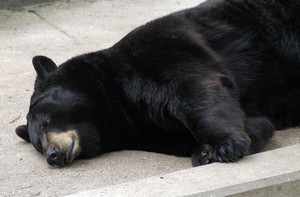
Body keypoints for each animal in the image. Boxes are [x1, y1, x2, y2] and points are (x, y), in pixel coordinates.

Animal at [15, 0, 300, 167]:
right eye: (38, 145)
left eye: (47, 121)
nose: (52, 156)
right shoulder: (139, 127)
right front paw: (205, 150)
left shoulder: (161, 47)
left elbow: (196, 87)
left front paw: (227, 145)